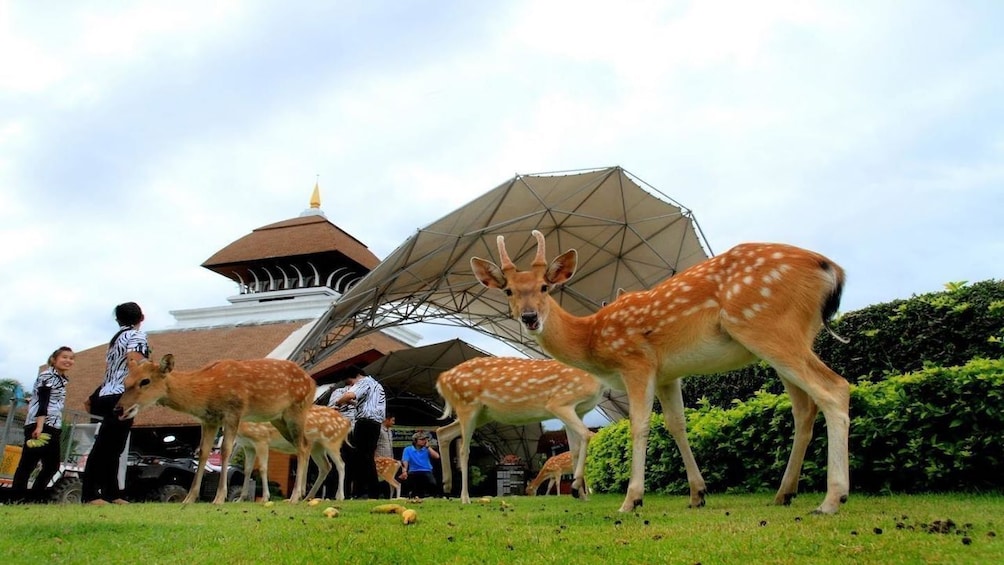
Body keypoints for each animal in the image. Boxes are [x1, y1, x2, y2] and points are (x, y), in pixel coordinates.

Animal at [116, 355, 317, 505]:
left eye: (145, 381)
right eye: (125, 381)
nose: (118, 409)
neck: (206, 391)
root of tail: (312, 383)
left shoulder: (233, 412)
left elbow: (225, 450)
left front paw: (219, 497)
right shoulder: (209, 420)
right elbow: (203, 452)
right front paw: (189, 498)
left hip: (296, 410)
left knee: (302, 447)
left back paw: (295, 496)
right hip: (279, 419)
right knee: (305, 445)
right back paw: (302, 494)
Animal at [433, 357, 602, 503]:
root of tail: (441, 379)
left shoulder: (578, 410)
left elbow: (575, 449)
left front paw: (581, 495)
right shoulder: (560, 404)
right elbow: (586, 435)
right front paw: (576, 490)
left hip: (483, 414)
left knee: (443, 432)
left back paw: (447, 485)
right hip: (467, 405)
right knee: (463, 449)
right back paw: (465, 497)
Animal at [473, 229, 851, 517]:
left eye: (544, 286)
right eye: (508, 290)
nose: (530, 317)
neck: (592, 337)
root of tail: (832, 269)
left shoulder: (636, 361)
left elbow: (640, 425)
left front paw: (632, 499)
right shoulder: (669, 374)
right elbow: (676, 425)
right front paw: (698, 494)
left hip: (768, 327)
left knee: (835, 388)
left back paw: (832, 499)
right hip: (785, 338)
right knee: (804, 407)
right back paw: (784, 493)